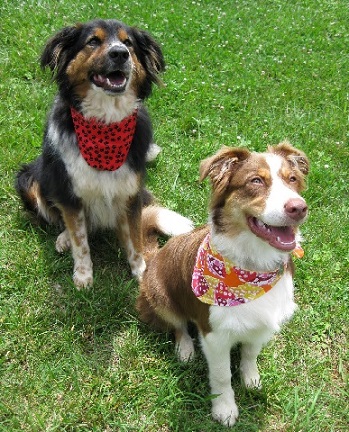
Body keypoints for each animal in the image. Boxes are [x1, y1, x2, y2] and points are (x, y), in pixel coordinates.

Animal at [14, 21, 164, 290]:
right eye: (93, 41)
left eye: (128, 43)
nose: (120, 54)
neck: (105, 124)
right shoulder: (70, 193)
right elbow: (80, 240)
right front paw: (83, 276)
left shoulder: (131, 192)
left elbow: (134, 236)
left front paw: (140, 271)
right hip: (29, 178)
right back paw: (64, 238)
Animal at [136, 143, 308, 426]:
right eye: (256, 181)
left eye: (292, 179)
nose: (299, 207)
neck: (252, 269)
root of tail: (152, 258)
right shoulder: (214, 335)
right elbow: (222, 375)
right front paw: (224, 409)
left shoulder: (262, 325)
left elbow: (250, 354)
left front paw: (251, 379)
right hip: (160, 296)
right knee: (178, 326)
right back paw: (185, 349)